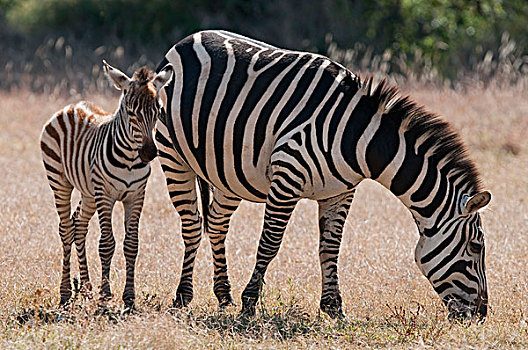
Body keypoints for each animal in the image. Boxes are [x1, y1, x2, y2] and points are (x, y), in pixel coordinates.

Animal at [41, 61, 173, 308]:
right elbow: (106, 244)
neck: (130, 159)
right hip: (60, 181)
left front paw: (129, 297)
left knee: (78, 225)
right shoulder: (106, 195)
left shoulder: (136, 195)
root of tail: (72, 106)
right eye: (131, 112)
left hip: (89, 192)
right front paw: (105, 295)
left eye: (159, 111)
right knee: (66, 228)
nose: (149, 153)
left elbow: (131, 244)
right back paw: (65, 292)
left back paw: (85, 289)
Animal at [156, 31, 490, 322]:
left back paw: (224, 295)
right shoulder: (286, 178)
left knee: (216, 223)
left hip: (227, 174)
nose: (482, 315)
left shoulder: (340, 191)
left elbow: (330, 247)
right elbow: (270, 243)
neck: (359, 138)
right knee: (192, 225)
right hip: (173, 156)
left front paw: (333, 307)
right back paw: (183, 296)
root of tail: (189, 38)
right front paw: (249, 304)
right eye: (476, 247)